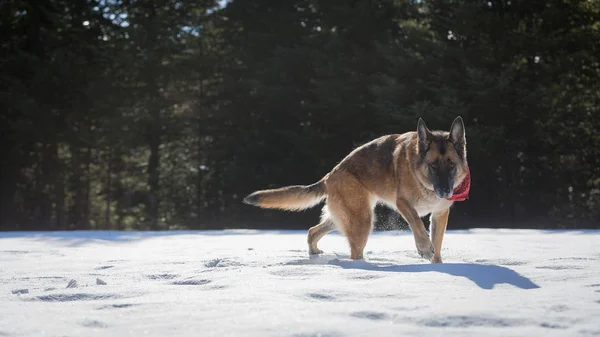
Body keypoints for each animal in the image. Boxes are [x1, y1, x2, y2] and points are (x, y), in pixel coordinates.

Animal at [243, 117, 468, 262]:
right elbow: (418, 226)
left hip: (343, 217)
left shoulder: (440, 214)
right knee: (353, 252)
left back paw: (315, 255)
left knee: (312, 231)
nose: (445, 191)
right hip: (362, 221)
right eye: (433, 165)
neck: (425, 183)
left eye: (451, 165)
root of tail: (330, 175)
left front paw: (437, 265)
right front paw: (424, 249)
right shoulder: (403, 204)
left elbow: (437, 244)